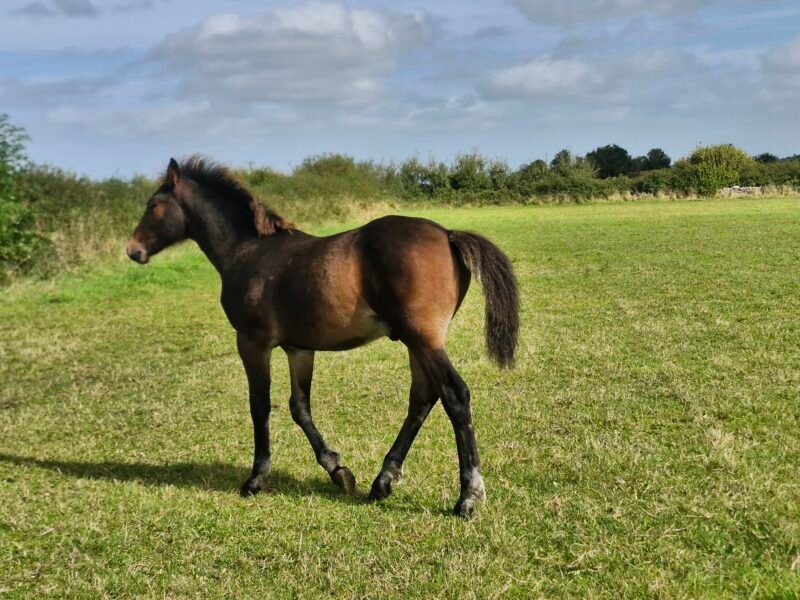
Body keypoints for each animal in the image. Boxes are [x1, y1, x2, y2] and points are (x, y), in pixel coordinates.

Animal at [126, 157, 519, 517]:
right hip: (416, 342)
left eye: (153, 205)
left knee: (455, 396)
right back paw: (382, 481)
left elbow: (259, 405)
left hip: (423, 339)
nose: (133, 250)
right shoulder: (298, 349)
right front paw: (338, 471)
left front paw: (255, 479)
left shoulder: (252, 342)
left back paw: (468, 497)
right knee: (422, 397)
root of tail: (448, 235)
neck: (248, 253)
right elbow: (300, 407)